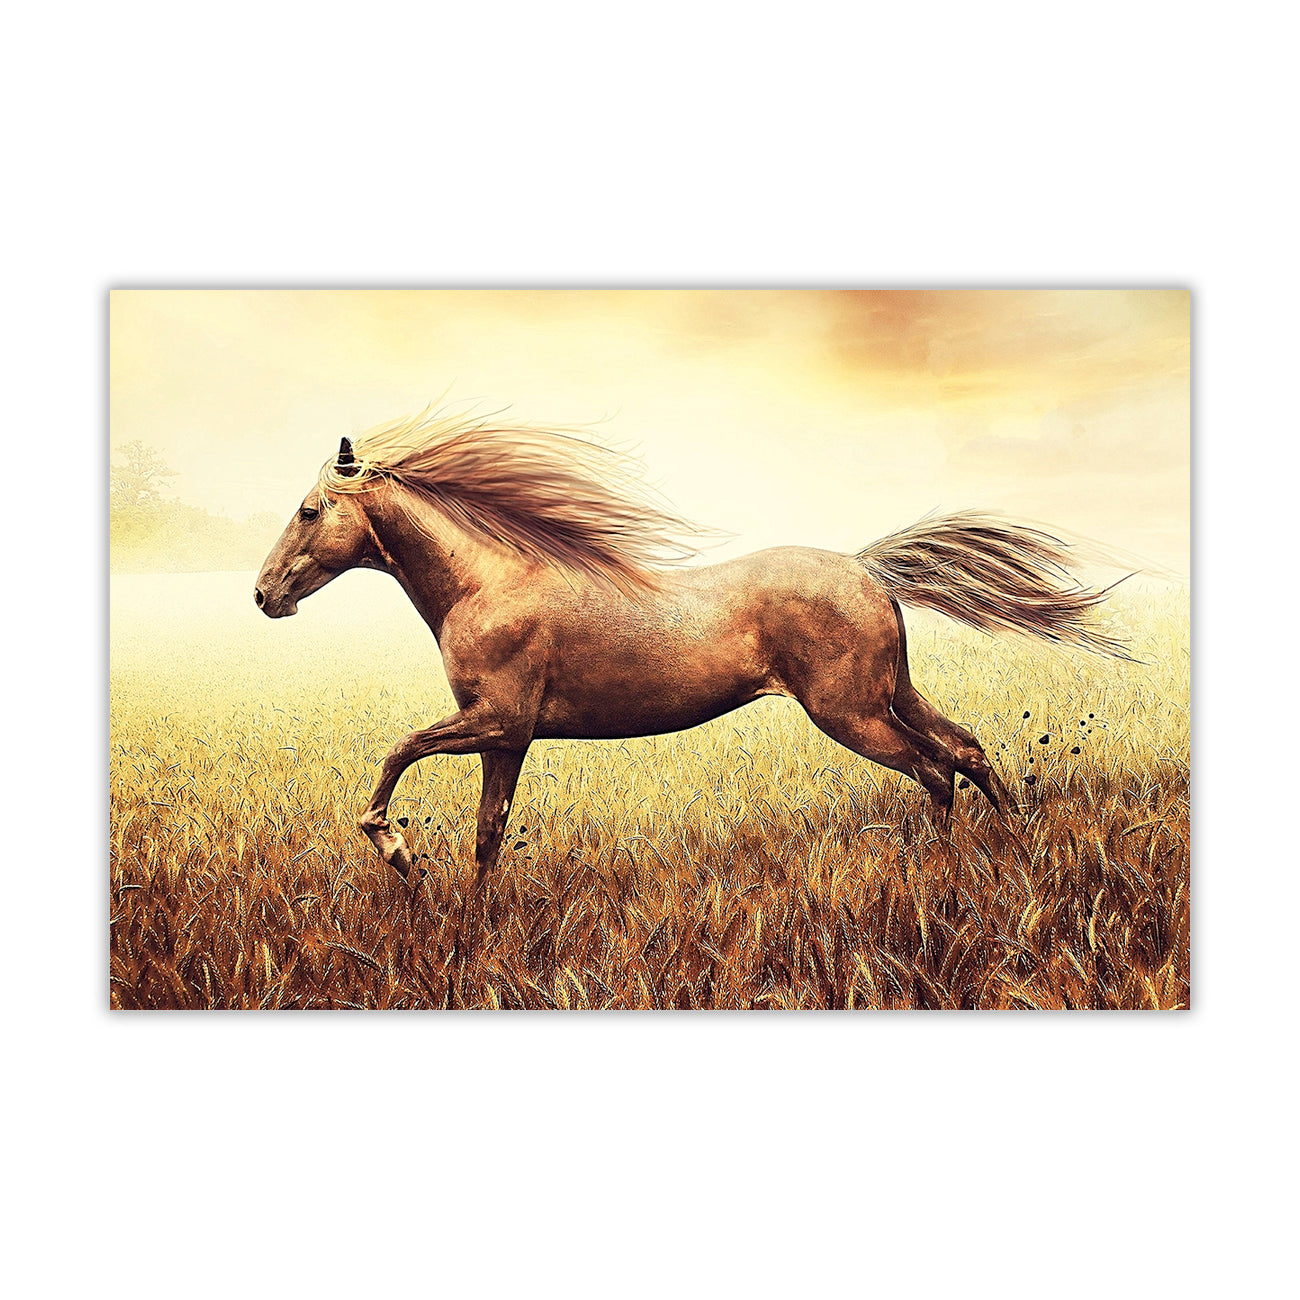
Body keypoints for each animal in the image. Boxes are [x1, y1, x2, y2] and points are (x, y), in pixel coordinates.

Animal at [255, 409, 1129, 887]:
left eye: (308, 510)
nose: (264, 596)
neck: (488, 583)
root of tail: (866, 568)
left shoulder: (496, 721)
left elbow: (397, 753)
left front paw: (398, 852)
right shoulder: (507, 740)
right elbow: (486, 837)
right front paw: (471, 927)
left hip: (849, 712)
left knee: (933, 768)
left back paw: (944, 870)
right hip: (892, 693)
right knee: (968, 748)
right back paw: (1015, 845)